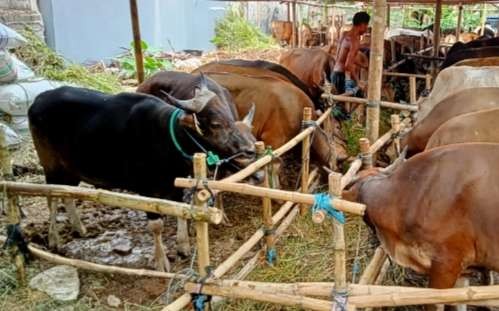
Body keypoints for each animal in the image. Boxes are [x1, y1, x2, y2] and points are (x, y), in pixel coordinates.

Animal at [28, 72, 258, 270]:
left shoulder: (175, 185)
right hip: (50, 165)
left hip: (71, 169)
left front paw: (183, 246)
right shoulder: (147, 189)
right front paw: (161, 261)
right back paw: (54, 239)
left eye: (231, 116)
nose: (249, 150)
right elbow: (156, 226)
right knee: (52, 197)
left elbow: (180, 212)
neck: (165, 139)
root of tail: (37, 101)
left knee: (66, 193)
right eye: (216, 124)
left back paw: (79, 228)